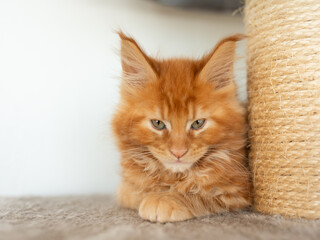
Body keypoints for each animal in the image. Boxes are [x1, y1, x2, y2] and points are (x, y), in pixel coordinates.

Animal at [112, 32, 250, 223]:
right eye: (158, 124)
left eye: (198, 123)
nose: (178, 152)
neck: (174, 176)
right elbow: (129, 191)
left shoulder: (237, 191)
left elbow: (199, 193)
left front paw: (163, 199)